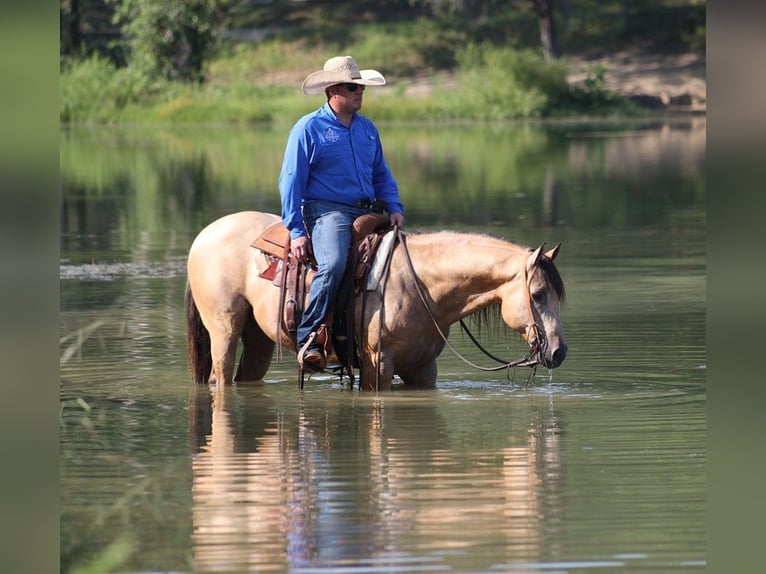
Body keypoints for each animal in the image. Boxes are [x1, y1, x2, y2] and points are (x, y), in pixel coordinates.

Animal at [185, 211, 567, 391]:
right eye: (537, 295)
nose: (559, 352)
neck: (419, 285)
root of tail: (205, 234)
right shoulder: (377, 364)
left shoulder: (422, 368)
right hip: (224, 329)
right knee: (220, 377)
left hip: (258, 339)